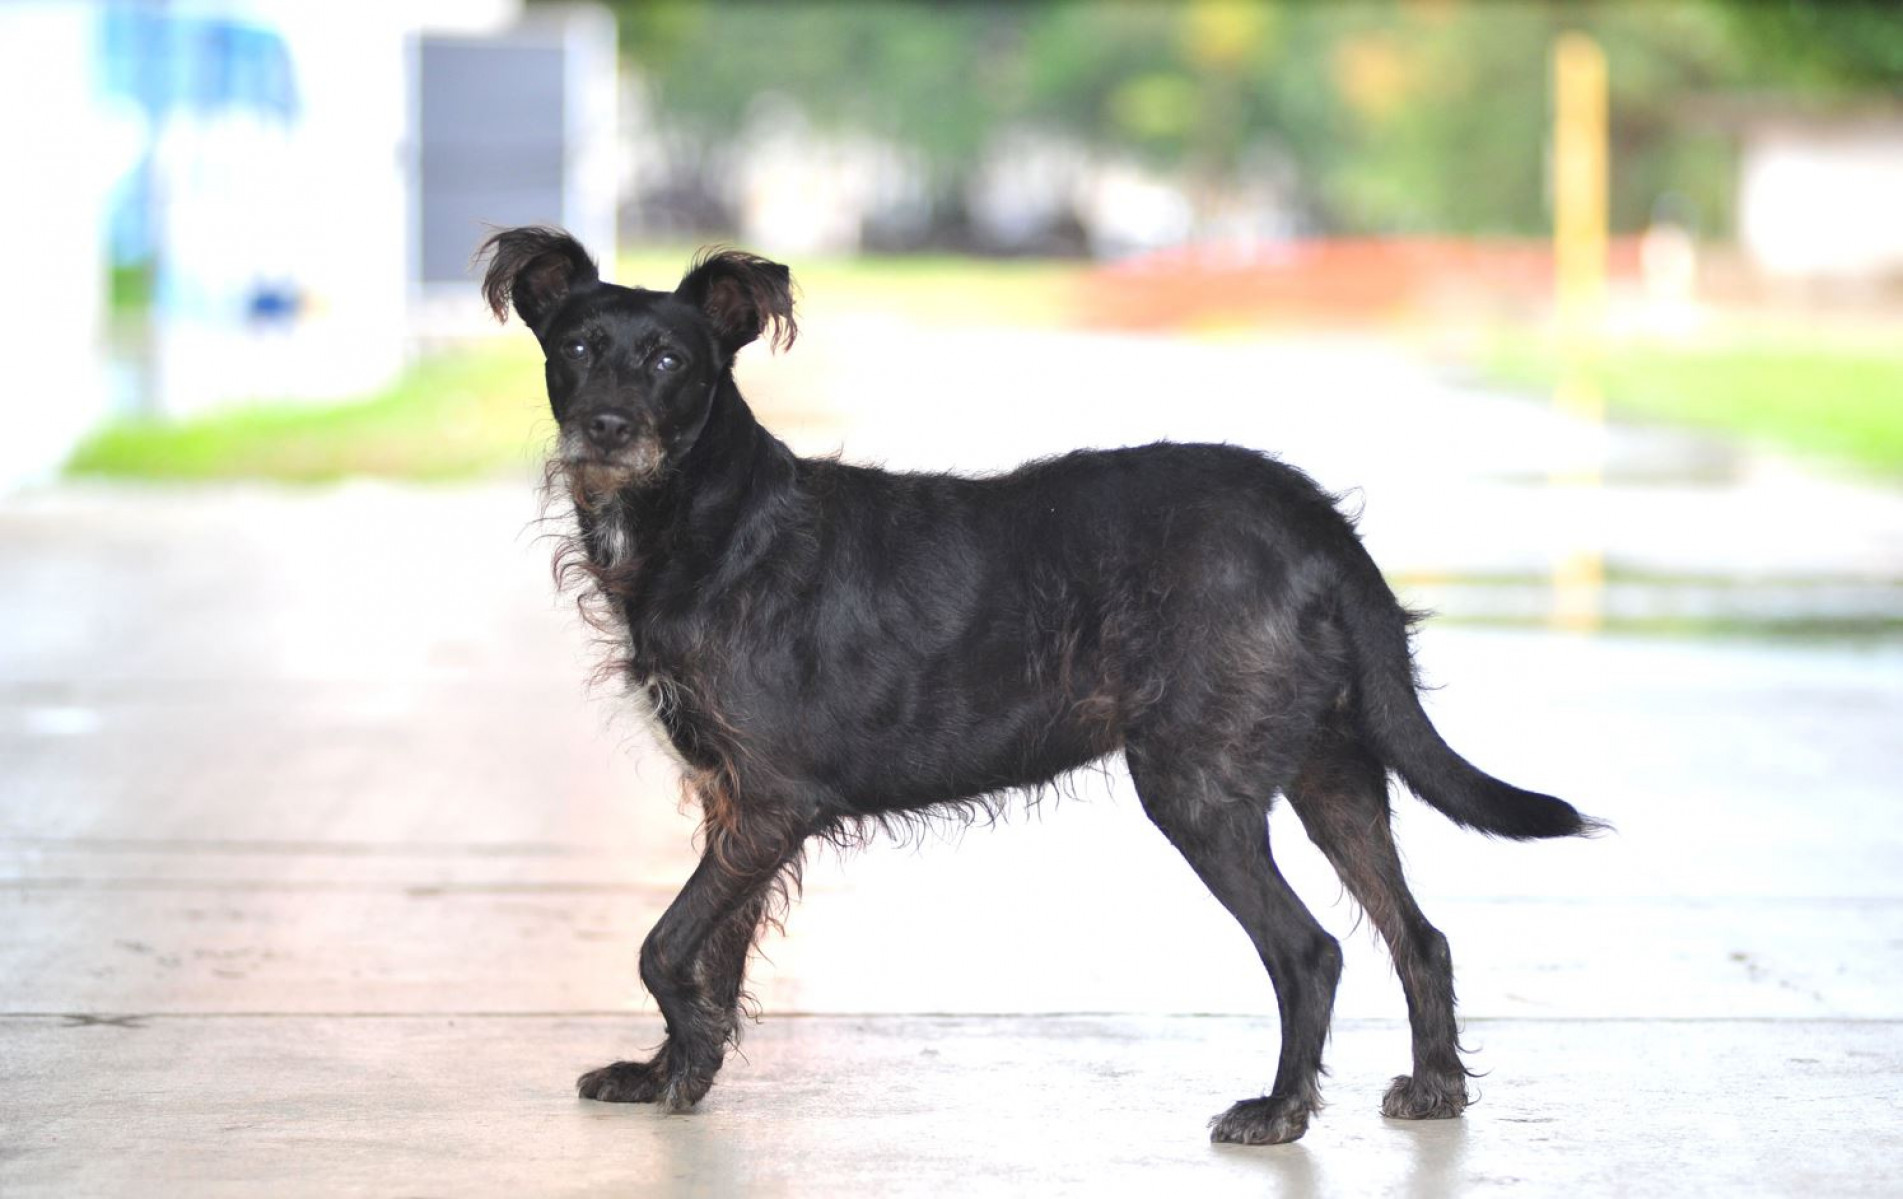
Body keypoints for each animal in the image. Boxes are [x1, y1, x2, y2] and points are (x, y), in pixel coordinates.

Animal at [478, 226, 1601, 1146]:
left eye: (669, 360)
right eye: (574, 349)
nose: (605, 427)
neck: (710, 515)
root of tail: (1314, 518)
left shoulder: (769, 802)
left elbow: (664, 945)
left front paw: (685, 1051)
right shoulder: (734, 805)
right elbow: (711, 951)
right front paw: (678, 1066)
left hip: (1197, 787)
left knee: (1310, 948)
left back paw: (1279, 1108)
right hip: (1332, 773)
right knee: (1419, 933)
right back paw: (1437, 1085)